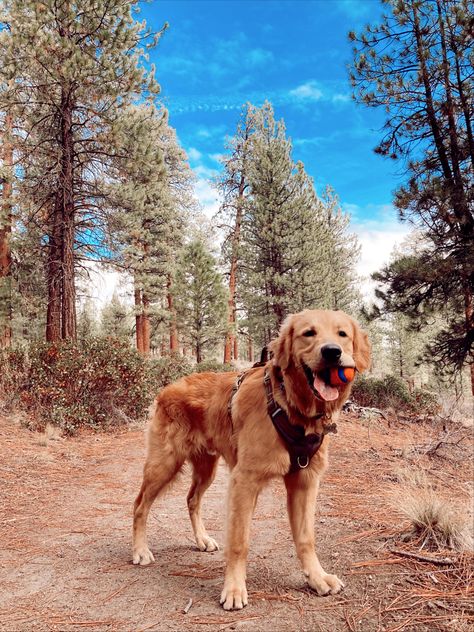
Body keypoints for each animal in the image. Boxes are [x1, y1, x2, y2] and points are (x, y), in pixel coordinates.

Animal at [131, 308, 370, 608]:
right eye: (309, 333)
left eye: (342, 334)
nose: (332, 352)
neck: (290, 407)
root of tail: (168, 387)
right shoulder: (245, 481)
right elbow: (239, 541)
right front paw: (234, 589)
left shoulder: (305, 480)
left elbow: (306, 538)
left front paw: (317, 578)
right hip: (164, 464)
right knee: (139, 505)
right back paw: (140, 549)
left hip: (206, 468)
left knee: (192, 500)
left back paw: (201, 539)